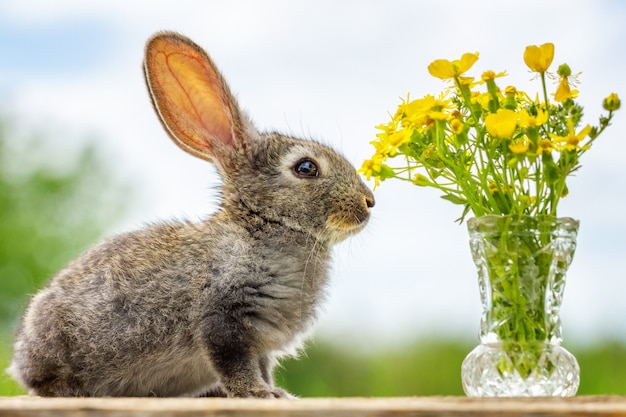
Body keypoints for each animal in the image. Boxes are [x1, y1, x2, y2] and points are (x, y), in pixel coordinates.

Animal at [7, 31, 372, 396]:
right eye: (306, 168)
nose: (369, 202)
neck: (263, 224)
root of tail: (22, 363)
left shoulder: (259, 343)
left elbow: (261, 366)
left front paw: (277, 393)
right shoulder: (222, 319)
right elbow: (235, 365)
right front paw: (258, 393)